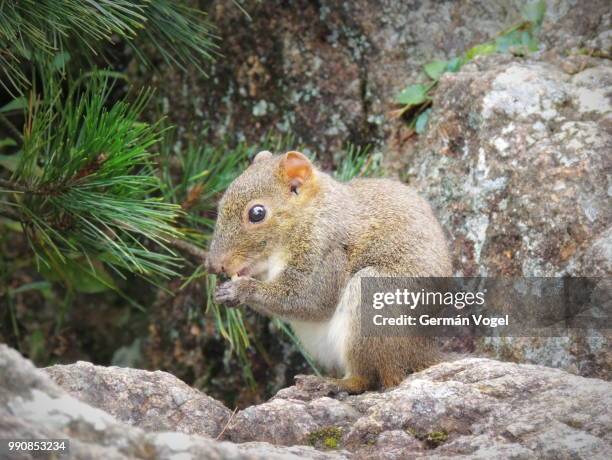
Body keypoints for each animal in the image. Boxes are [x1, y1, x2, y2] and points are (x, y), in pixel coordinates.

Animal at [208, 150, 452, 392]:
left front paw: (241, 289)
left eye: (257, 213)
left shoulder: (327, 251)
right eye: (220, 206)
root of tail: (422, 352)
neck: (309, 215)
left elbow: (309, 300)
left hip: (374, 302)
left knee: (367, 378)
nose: (213, 265)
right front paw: (223, 292)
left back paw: (333, 383)